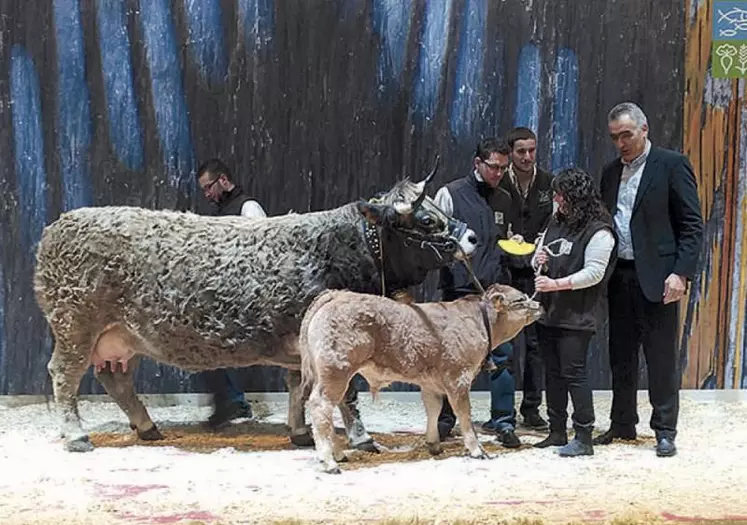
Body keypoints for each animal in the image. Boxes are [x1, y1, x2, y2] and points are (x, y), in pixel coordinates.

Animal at [298, 284, 544, 472]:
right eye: (520, 299)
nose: (540, 305)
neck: (478, 323)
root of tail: (336, 294)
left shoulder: (431, 383)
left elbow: (433, 409)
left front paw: (434, 444)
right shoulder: (459, 379)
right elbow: (464, 415)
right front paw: (476, 450)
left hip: (332, 374)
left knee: (332, 408)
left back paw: (338, 454)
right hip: (335, 371)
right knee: (320, 406)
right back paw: (329, 462)